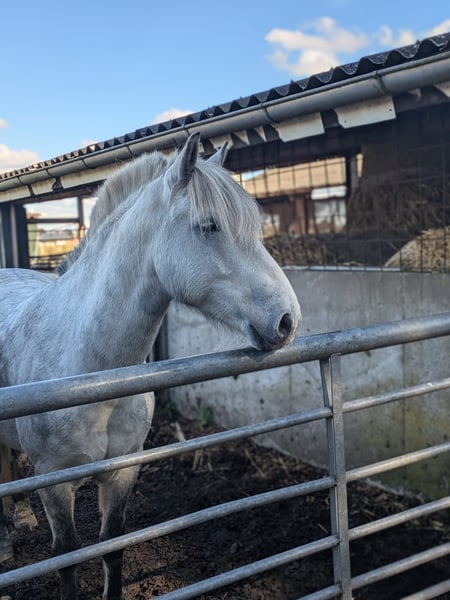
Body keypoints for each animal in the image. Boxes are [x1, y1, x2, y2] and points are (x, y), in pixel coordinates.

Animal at [0, 133, 301, 600]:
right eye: (208, 226)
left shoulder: (124, 469)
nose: (288, 319)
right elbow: (66, 556)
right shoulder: (53, 480)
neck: (90, 377)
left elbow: (111, 546)